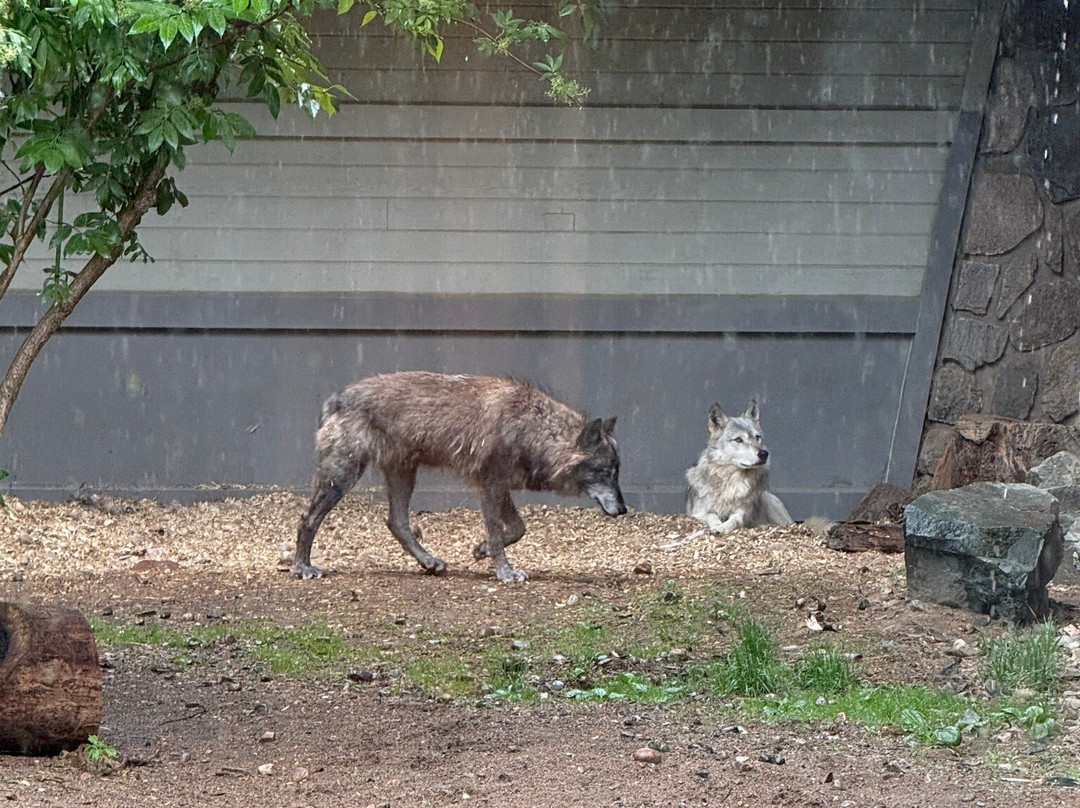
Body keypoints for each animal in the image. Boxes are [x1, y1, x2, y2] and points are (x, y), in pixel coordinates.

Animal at [294, 371, 627, 583]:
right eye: (605, 472)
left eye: (617, 472)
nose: (624, 509)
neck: (530, 429)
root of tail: (338, 398)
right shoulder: (489, 486)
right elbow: (498, 533)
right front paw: (505, 572)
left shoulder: (499, 487)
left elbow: (518, 529)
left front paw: (481, 550)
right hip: (343, 477)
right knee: (307, 519)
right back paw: (303, 568)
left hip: (403, 475)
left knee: (397, 522)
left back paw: (429, 562)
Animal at [685, 399, 793, 534]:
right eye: (738, 439)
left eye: (757, 437)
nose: (764, 454)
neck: (730, 480)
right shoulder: (698, 513)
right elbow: (712, 515)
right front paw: (717, 525)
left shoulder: (741, 512)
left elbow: (735, 520)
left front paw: (723, 527)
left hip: (768, 500)